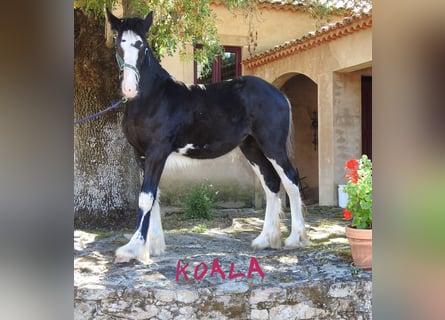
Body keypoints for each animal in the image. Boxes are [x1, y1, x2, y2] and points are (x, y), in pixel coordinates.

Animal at [106, 9, 306, 262]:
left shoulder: (157, 152)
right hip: (251, 147)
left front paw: (133, 249)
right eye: (118, 45)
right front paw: (154, 246)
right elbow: (154, 197)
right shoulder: (140, 154)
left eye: (142, 45)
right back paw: (264, 240)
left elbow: (146, 197)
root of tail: (278, 93)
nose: (130, 88)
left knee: (290, 181)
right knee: (271, 182)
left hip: (272, 146)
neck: (154, 98)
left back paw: (295, 239)